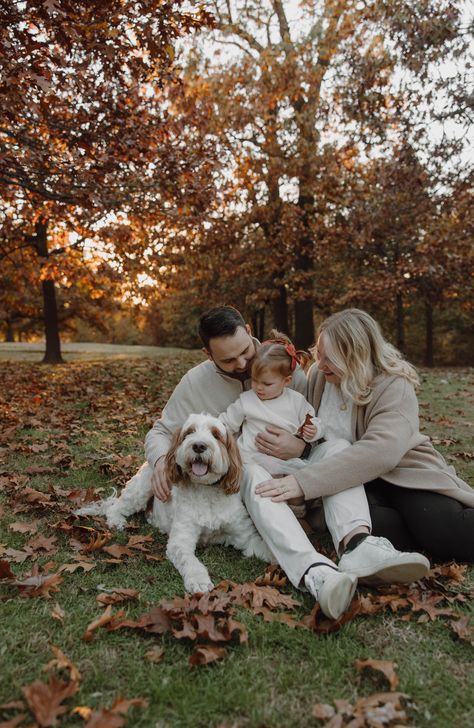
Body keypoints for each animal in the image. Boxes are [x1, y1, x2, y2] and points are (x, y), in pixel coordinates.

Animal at [76, 412, 272, 596]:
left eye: (216, 435)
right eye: (189, 432)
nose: (199, 446)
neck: (206, 491)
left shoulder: (245, 536)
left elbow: (262, 546)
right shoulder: (180, 542)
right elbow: (191, 562)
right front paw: (199, 581)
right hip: (144, 487)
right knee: (115, 507)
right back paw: (117, 521)